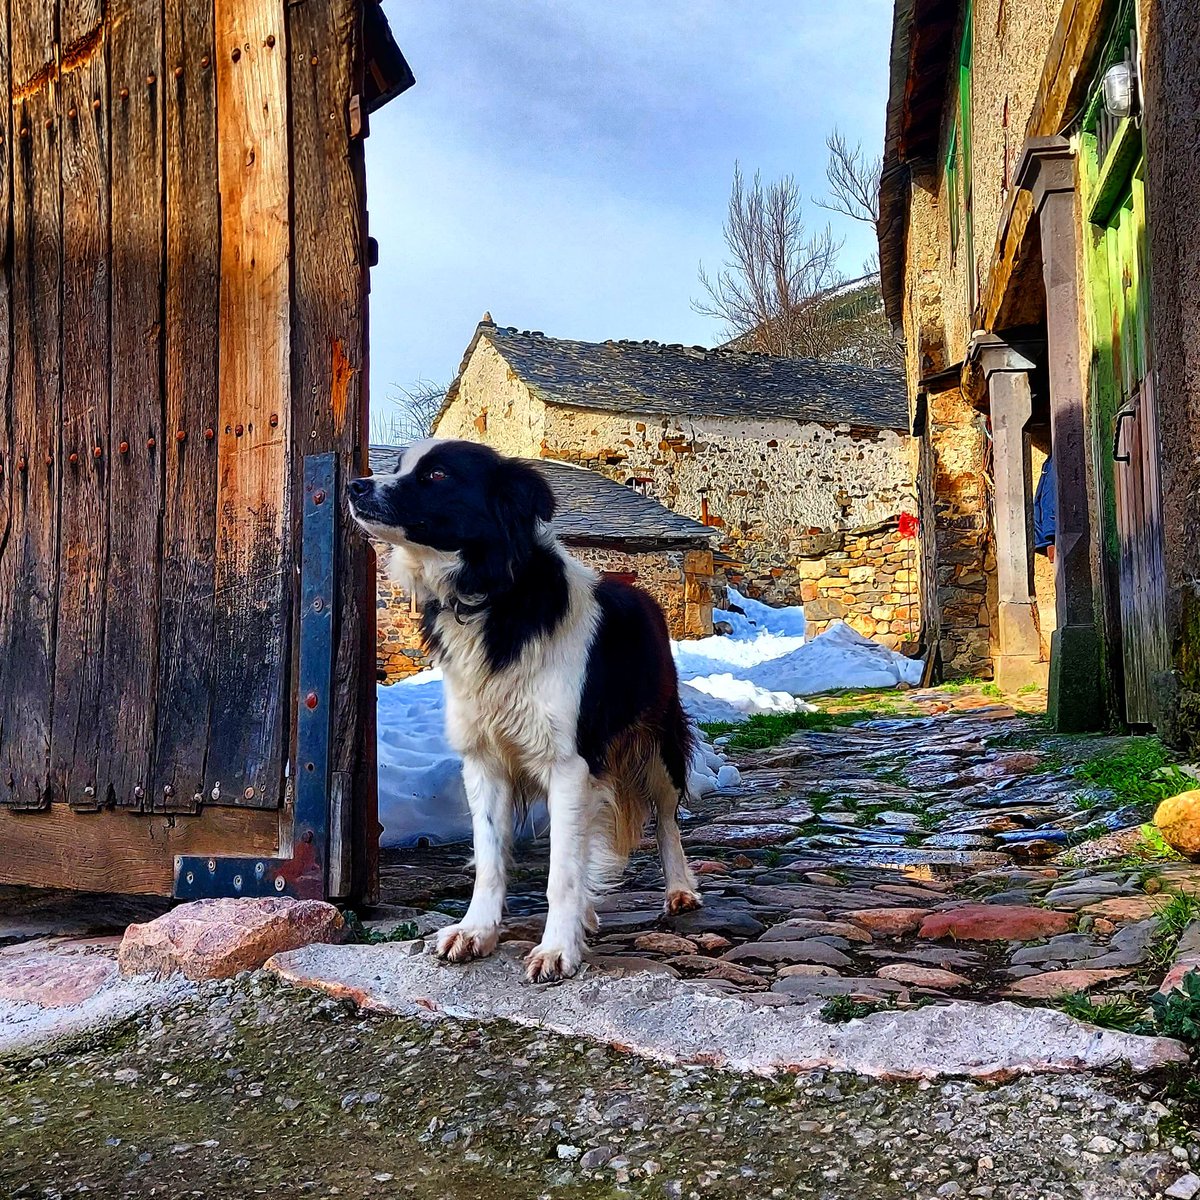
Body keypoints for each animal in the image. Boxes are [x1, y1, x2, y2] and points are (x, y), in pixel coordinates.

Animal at [348, 441, 700, 984]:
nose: (354, 485)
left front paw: (557, 948)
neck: (488, 595)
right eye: (401, 466)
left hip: (657, 743)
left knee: (665, 818)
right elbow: (493, 857)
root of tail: (644, 596)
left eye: (437, 475)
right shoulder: (483, 759)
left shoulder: (571, 764)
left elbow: (562, 872)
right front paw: (476, 931)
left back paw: (679, 888)